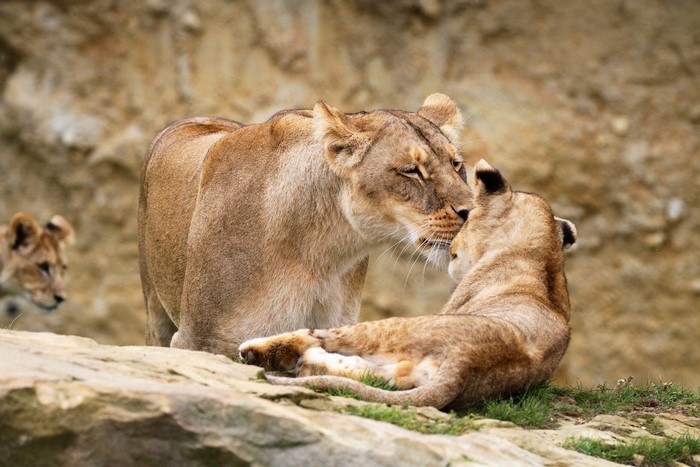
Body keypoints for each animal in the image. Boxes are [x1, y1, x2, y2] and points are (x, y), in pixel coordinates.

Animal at [239, 159, 577, 409]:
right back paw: (310, 364)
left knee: (321, 336)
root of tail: (467, 363)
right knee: (381, 377)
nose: (453, 245)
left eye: (467, 218)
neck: (542, 255)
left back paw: (257, 351)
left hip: (398, 325)